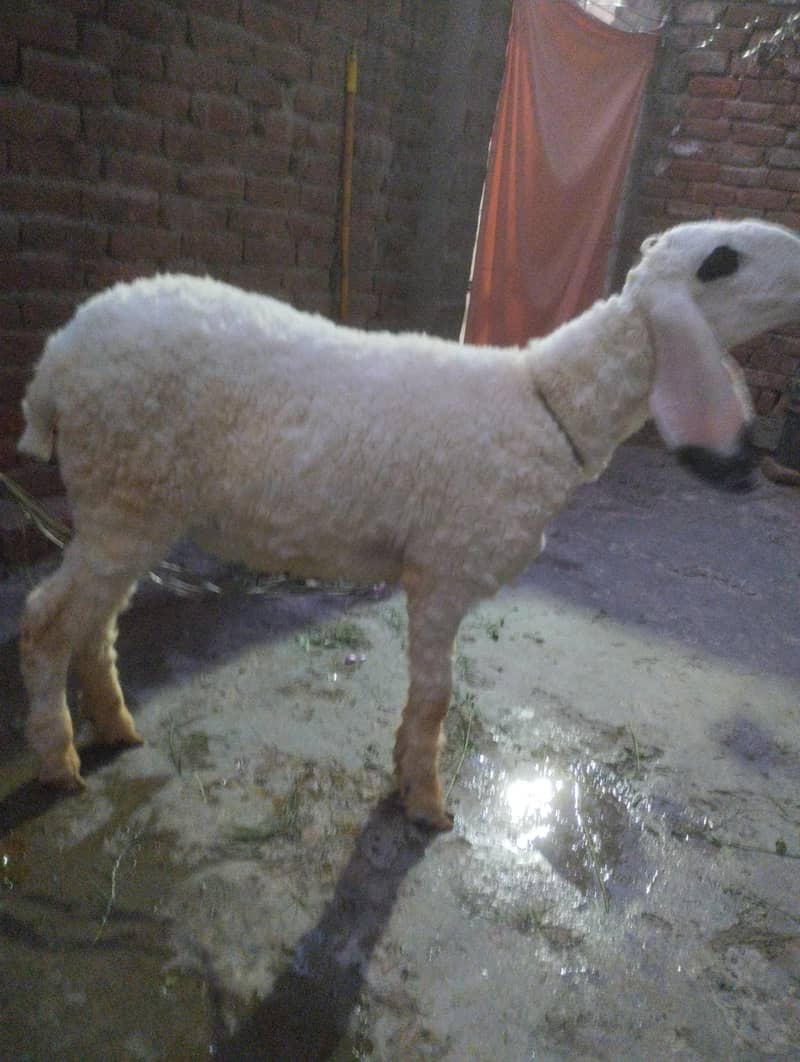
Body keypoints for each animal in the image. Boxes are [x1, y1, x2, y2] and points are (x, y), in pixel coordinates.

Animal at [17, 218, 800, 831]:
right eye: (722, 260)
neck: (546, 400)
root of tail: (53, 365)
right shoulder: (443, 569)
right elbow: (436, 697)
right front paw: (426, 803)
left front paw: (404, 776)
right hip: (125, 488)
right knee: (48, 621)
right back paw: (59, 760)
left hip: (127, 502)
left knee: (97, 621)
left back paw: (117, 728)